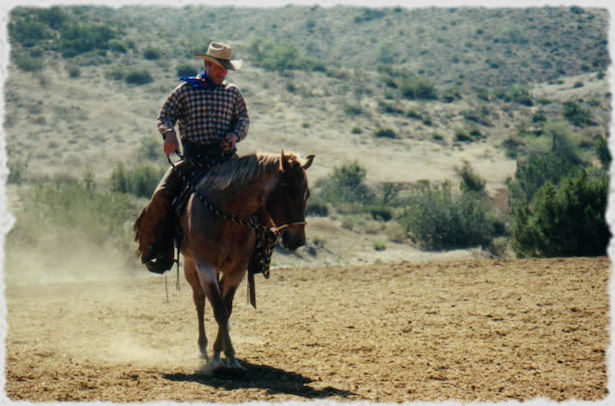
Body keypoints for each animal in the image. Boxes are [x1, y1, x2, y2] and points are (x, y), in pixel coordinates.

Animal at [178, 150, 314, 375]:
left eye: (307, 194)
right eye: (289, 192)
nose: (297, 240)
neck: (226, 217)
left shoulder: (237, 270)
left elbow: (226, 309)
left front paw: (224, 355)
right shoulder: (205, 266)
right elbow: (219, 310)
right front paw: (221, 359)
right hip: (191, 265)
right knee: (199, 300)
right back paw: (202, 349)